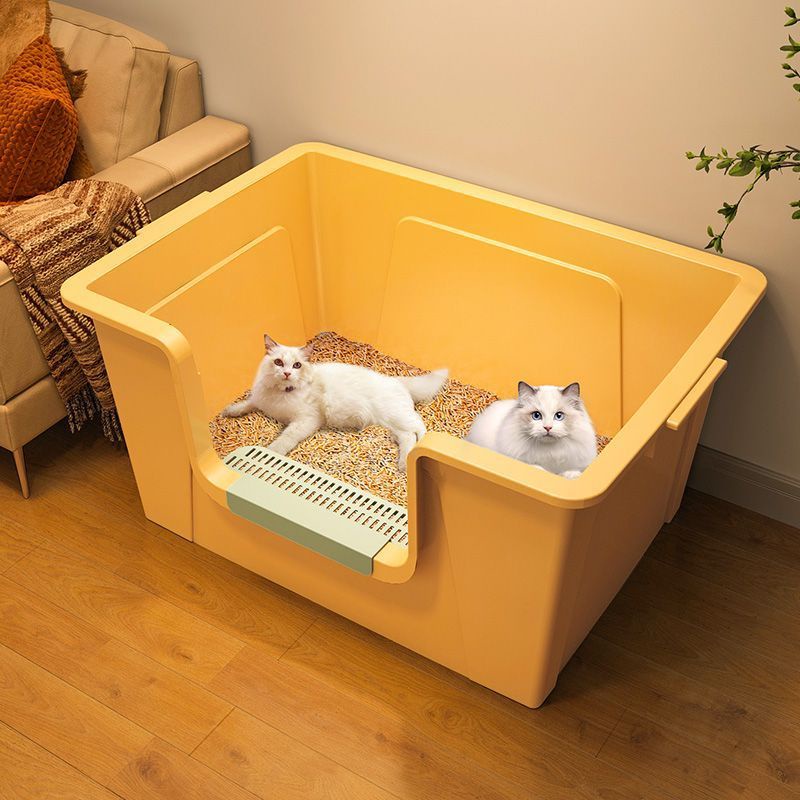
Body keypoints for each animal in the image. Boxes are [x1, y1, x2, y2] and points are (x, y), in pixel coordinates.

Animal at [222, 334, 448, 472]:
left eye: (297, 365)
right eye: (278, 362)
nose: (286, 373)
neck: (281, 393)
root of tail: (396, 380)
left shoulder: (307, 420)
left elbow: (285, 438)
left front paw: (271, 451)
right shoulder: (260, 399)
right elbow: (247, 404)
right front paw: (230, 411)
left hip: (396, 416)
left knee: (419, 429)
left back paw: (412, 457)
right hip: (390, 424)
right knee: (407, 436)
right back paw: (403, 464)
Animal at [466, 381, 597, 478]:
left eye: (559, 416)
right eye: (536, 415)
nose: (547, 427)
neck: (549, 451)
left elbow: (571, 471)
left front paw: (570, 475)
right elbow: (538, 468)